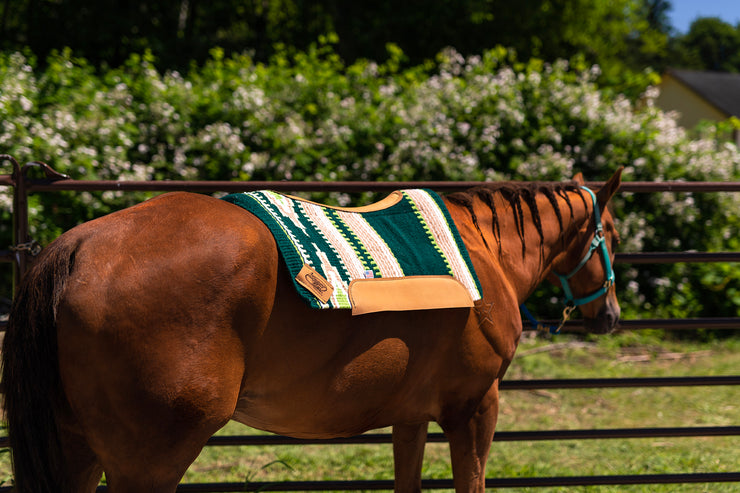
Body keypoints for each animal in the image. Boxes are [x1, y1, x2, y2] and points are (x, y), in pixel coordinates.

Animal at [2, 170, 620, 492]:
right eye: (611, 233)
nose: (610, 314)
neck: (482, 252)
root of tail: (78, 247)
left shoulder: (411, 416)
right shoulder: (474, 407)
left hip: (78, 448)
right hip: (147, 461)